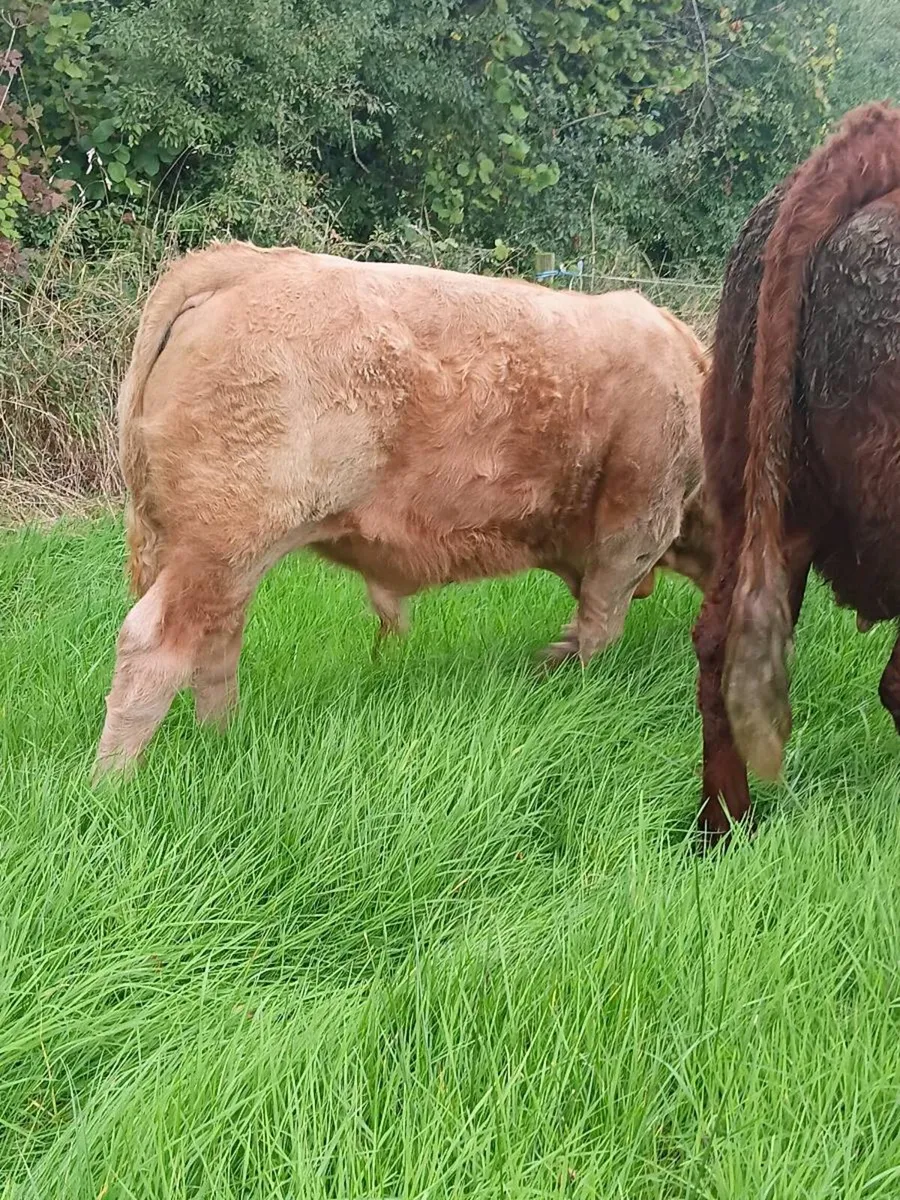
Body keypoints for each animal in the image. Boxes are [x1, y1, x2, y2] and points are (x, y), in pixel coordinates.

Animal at [93, 244, 711, 777]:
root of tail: (247, 264)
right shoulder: (633, 534)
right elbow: (600, 628)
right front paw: (571, 678)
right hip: (223, 542)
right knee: (154, 645)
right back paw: (113, 783)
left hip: (230, 555)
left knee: (217, 641)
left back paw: (221, 741)